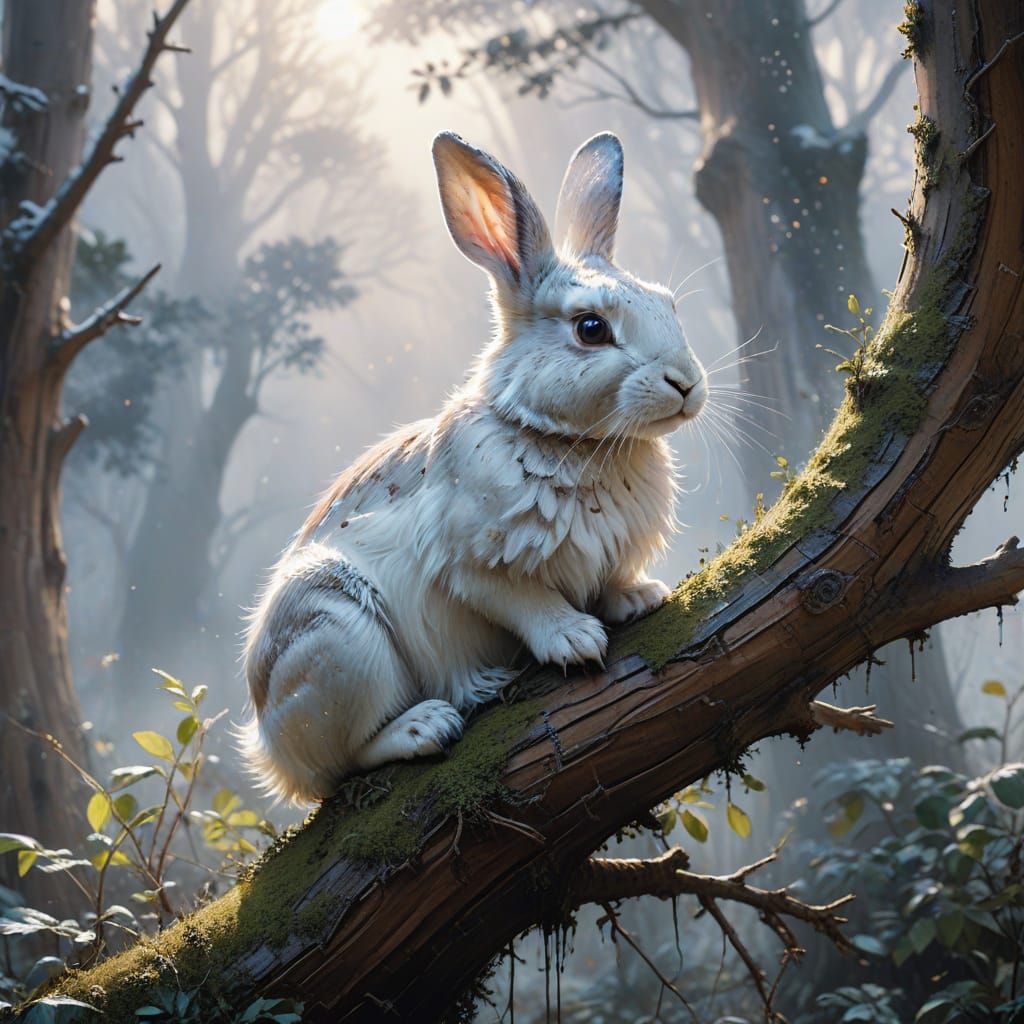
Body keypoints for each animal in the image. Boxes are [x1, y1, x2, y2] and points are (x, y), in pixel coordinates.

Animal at [239, 130, 708, 803]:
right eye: (591, 328)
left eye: (668, 305)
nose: (687, 384)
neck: (563, 438)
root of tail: (267, 745)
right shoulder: (471, 563)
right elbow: (524, 601)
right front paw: (575, 640)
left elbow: (610, 583)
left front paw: (639, 598)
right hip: (335, 636)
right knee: (340, 764)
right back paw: (427, 723)